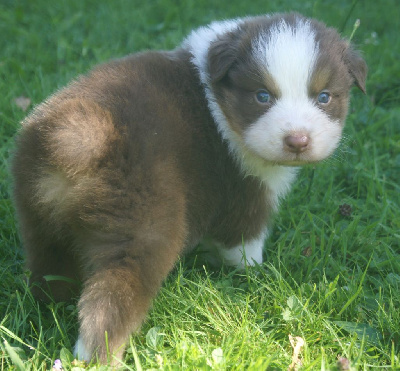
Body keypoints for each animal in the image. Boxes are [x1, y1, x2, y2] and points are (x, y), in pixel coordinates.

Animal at [10, 12, 368, 366]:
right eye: (262, 96)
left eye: (324, 97)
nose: (297, 140)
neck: (218, 103)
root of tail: (80, 139)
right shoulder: (245, 192)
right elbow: (244, 242)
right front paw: (257, 276)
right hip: (142, 224)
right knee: (112, 299)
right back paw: (100, 356)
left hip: (38, 212)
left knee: (49, 265)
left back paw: (48, 310)